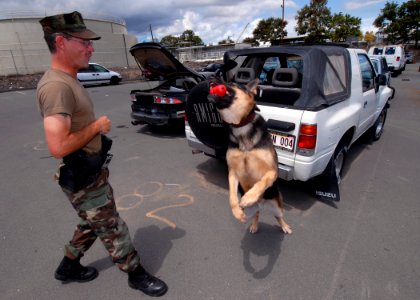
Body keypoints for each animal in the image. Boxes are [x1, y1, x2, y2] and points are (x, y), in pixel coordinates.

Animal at [207, 78, 292, 233]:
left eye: (231, 83)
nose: (210, 78)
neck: (241, 126)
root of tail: (261, 203)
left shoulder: (272, 171)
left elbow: (262, 182)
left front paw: (249, 197)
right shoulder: (233, 172)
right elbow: (232, 196)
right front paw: (237, 212)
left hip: (277, 206)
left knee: (278, 217)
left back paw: (285, 226)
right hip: (253, 210)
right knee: (256, 214)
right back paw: (253, 224)